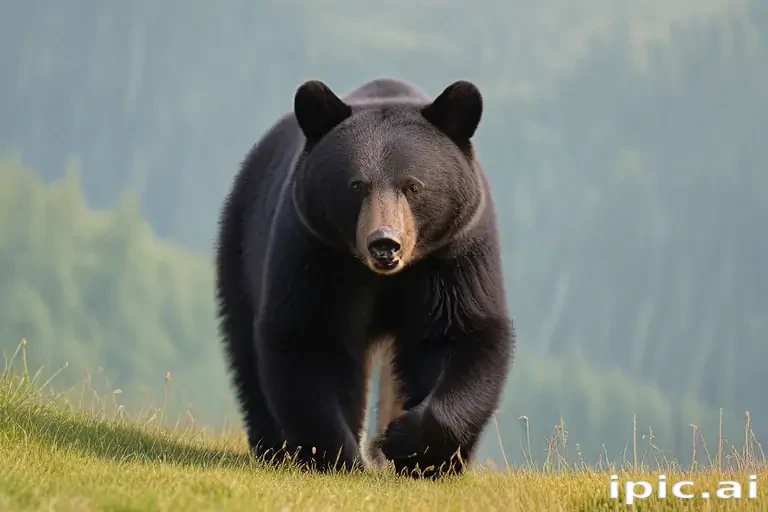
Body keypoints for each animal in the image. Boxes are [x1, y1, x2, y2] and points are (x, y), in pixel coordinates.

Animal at [214, 76, 515, 478]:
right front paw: (337, 456)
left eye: (413, 186)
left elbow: (461, 335)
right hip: (243, 245)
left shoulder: (453, 256)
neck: (385, 276)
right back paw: (273, 447)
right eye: (356, 185)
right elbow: (311, 338)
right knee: (246, 350)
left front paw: (409, 446)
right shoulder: (317, 253)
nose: (384, 244)